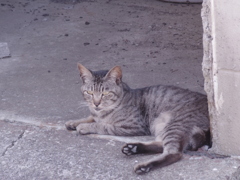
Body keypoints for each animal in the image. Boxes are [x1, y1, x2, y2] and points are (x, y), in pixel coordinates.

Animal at [65, 64, 210, 174]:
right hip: (163, 127)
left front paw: (83, 126)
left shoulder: (133, 126)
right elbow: (91, 118)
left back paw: (144, 165)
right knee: (162, 145)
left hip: (175, 124)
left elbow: (103, 125)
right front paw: (74, 122)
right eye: (89, 92)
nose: (96, 103)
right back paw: (133, 148)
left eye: (105, 93)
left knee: (174, 153)